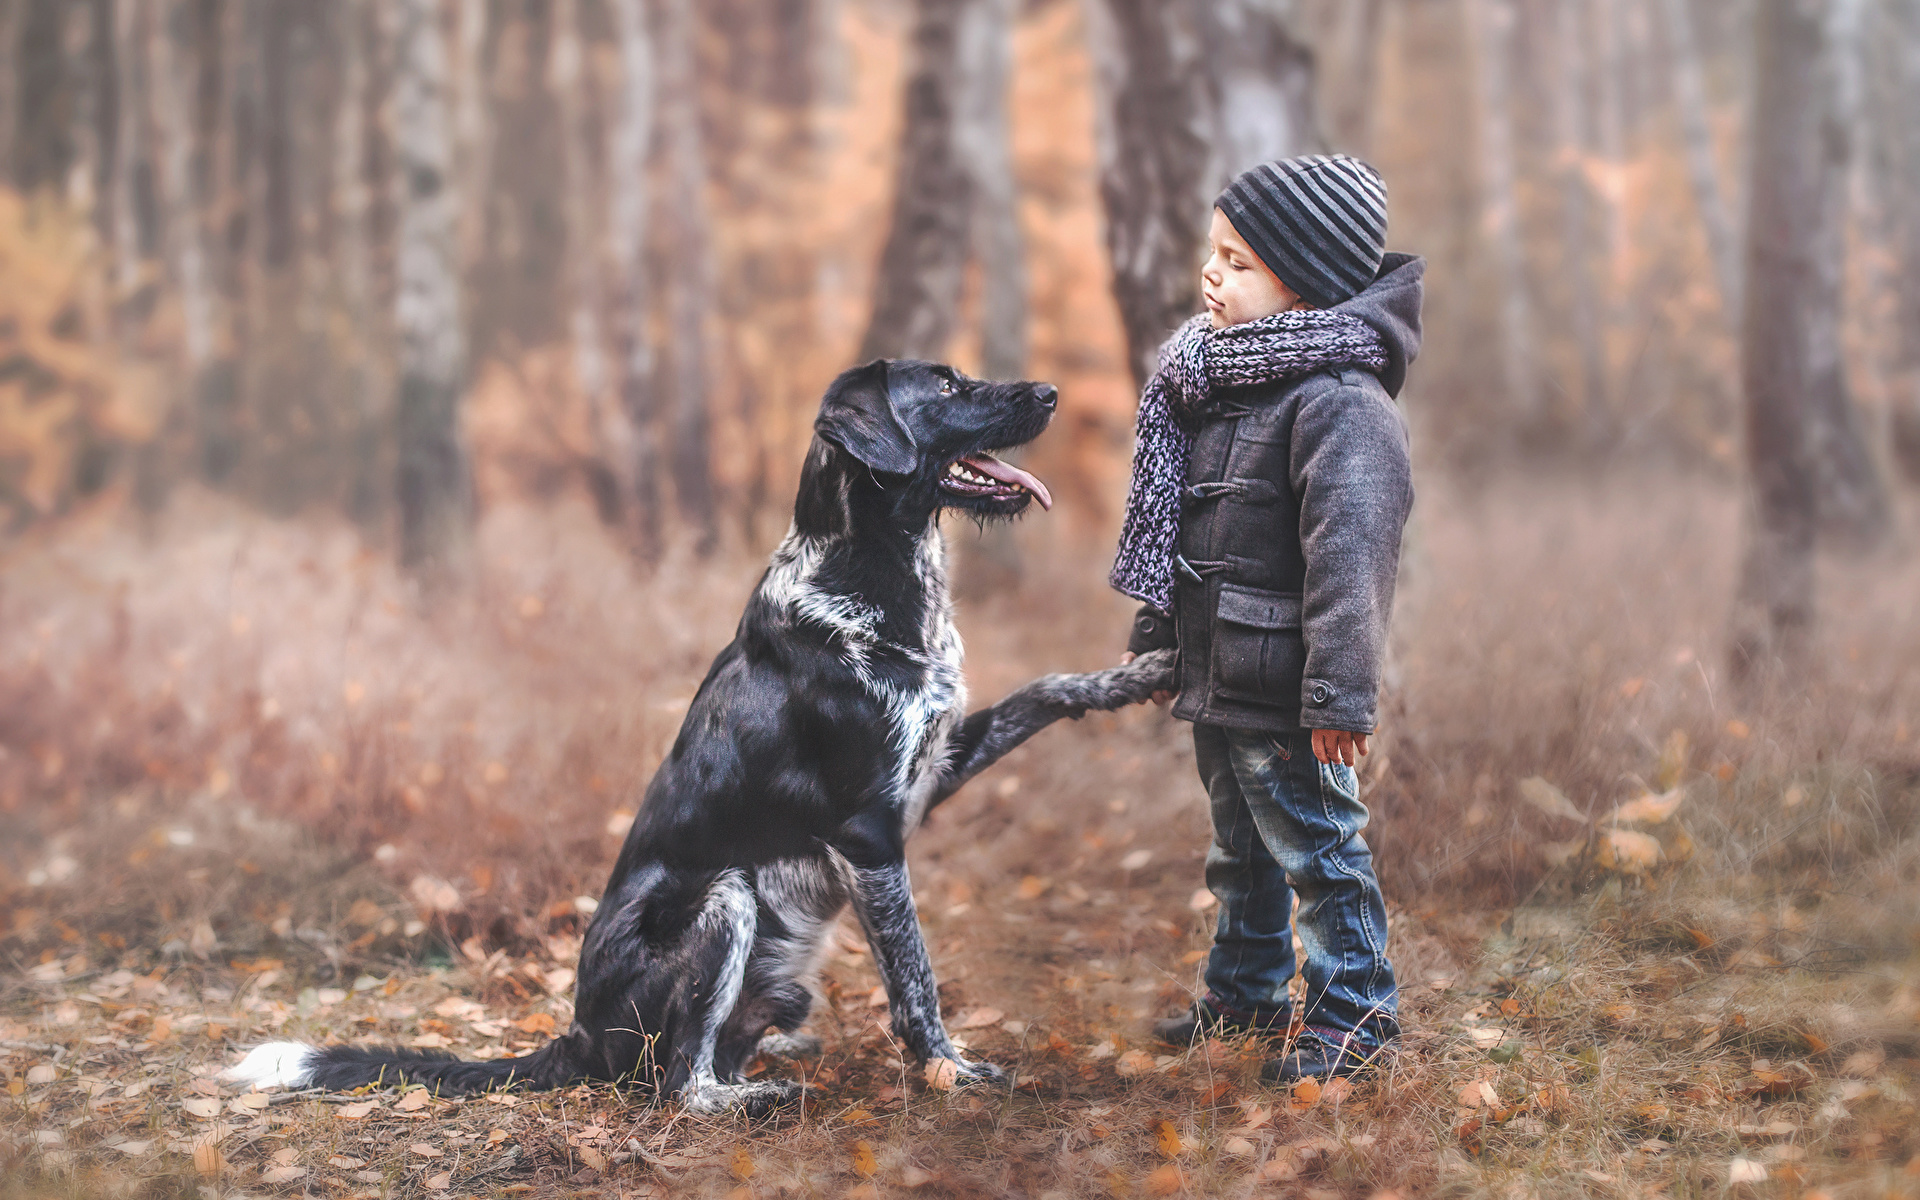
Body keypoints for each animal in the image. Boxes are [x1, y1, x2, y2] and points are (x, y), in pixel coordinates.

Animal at [234, 355, 1175, 1113]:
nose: (1052, 392)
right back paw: (758, 1097)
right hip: (724, 896)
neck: (869, 577)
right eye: (945, 387)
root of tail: (576, 1037)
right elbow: (916, 980)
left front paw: (1134, 676)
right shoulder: (870, 832)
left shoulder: (929, 770)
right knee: (682, 1084)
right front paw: (951, 1071)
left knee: (717, 1053)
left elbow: (1038, 691)